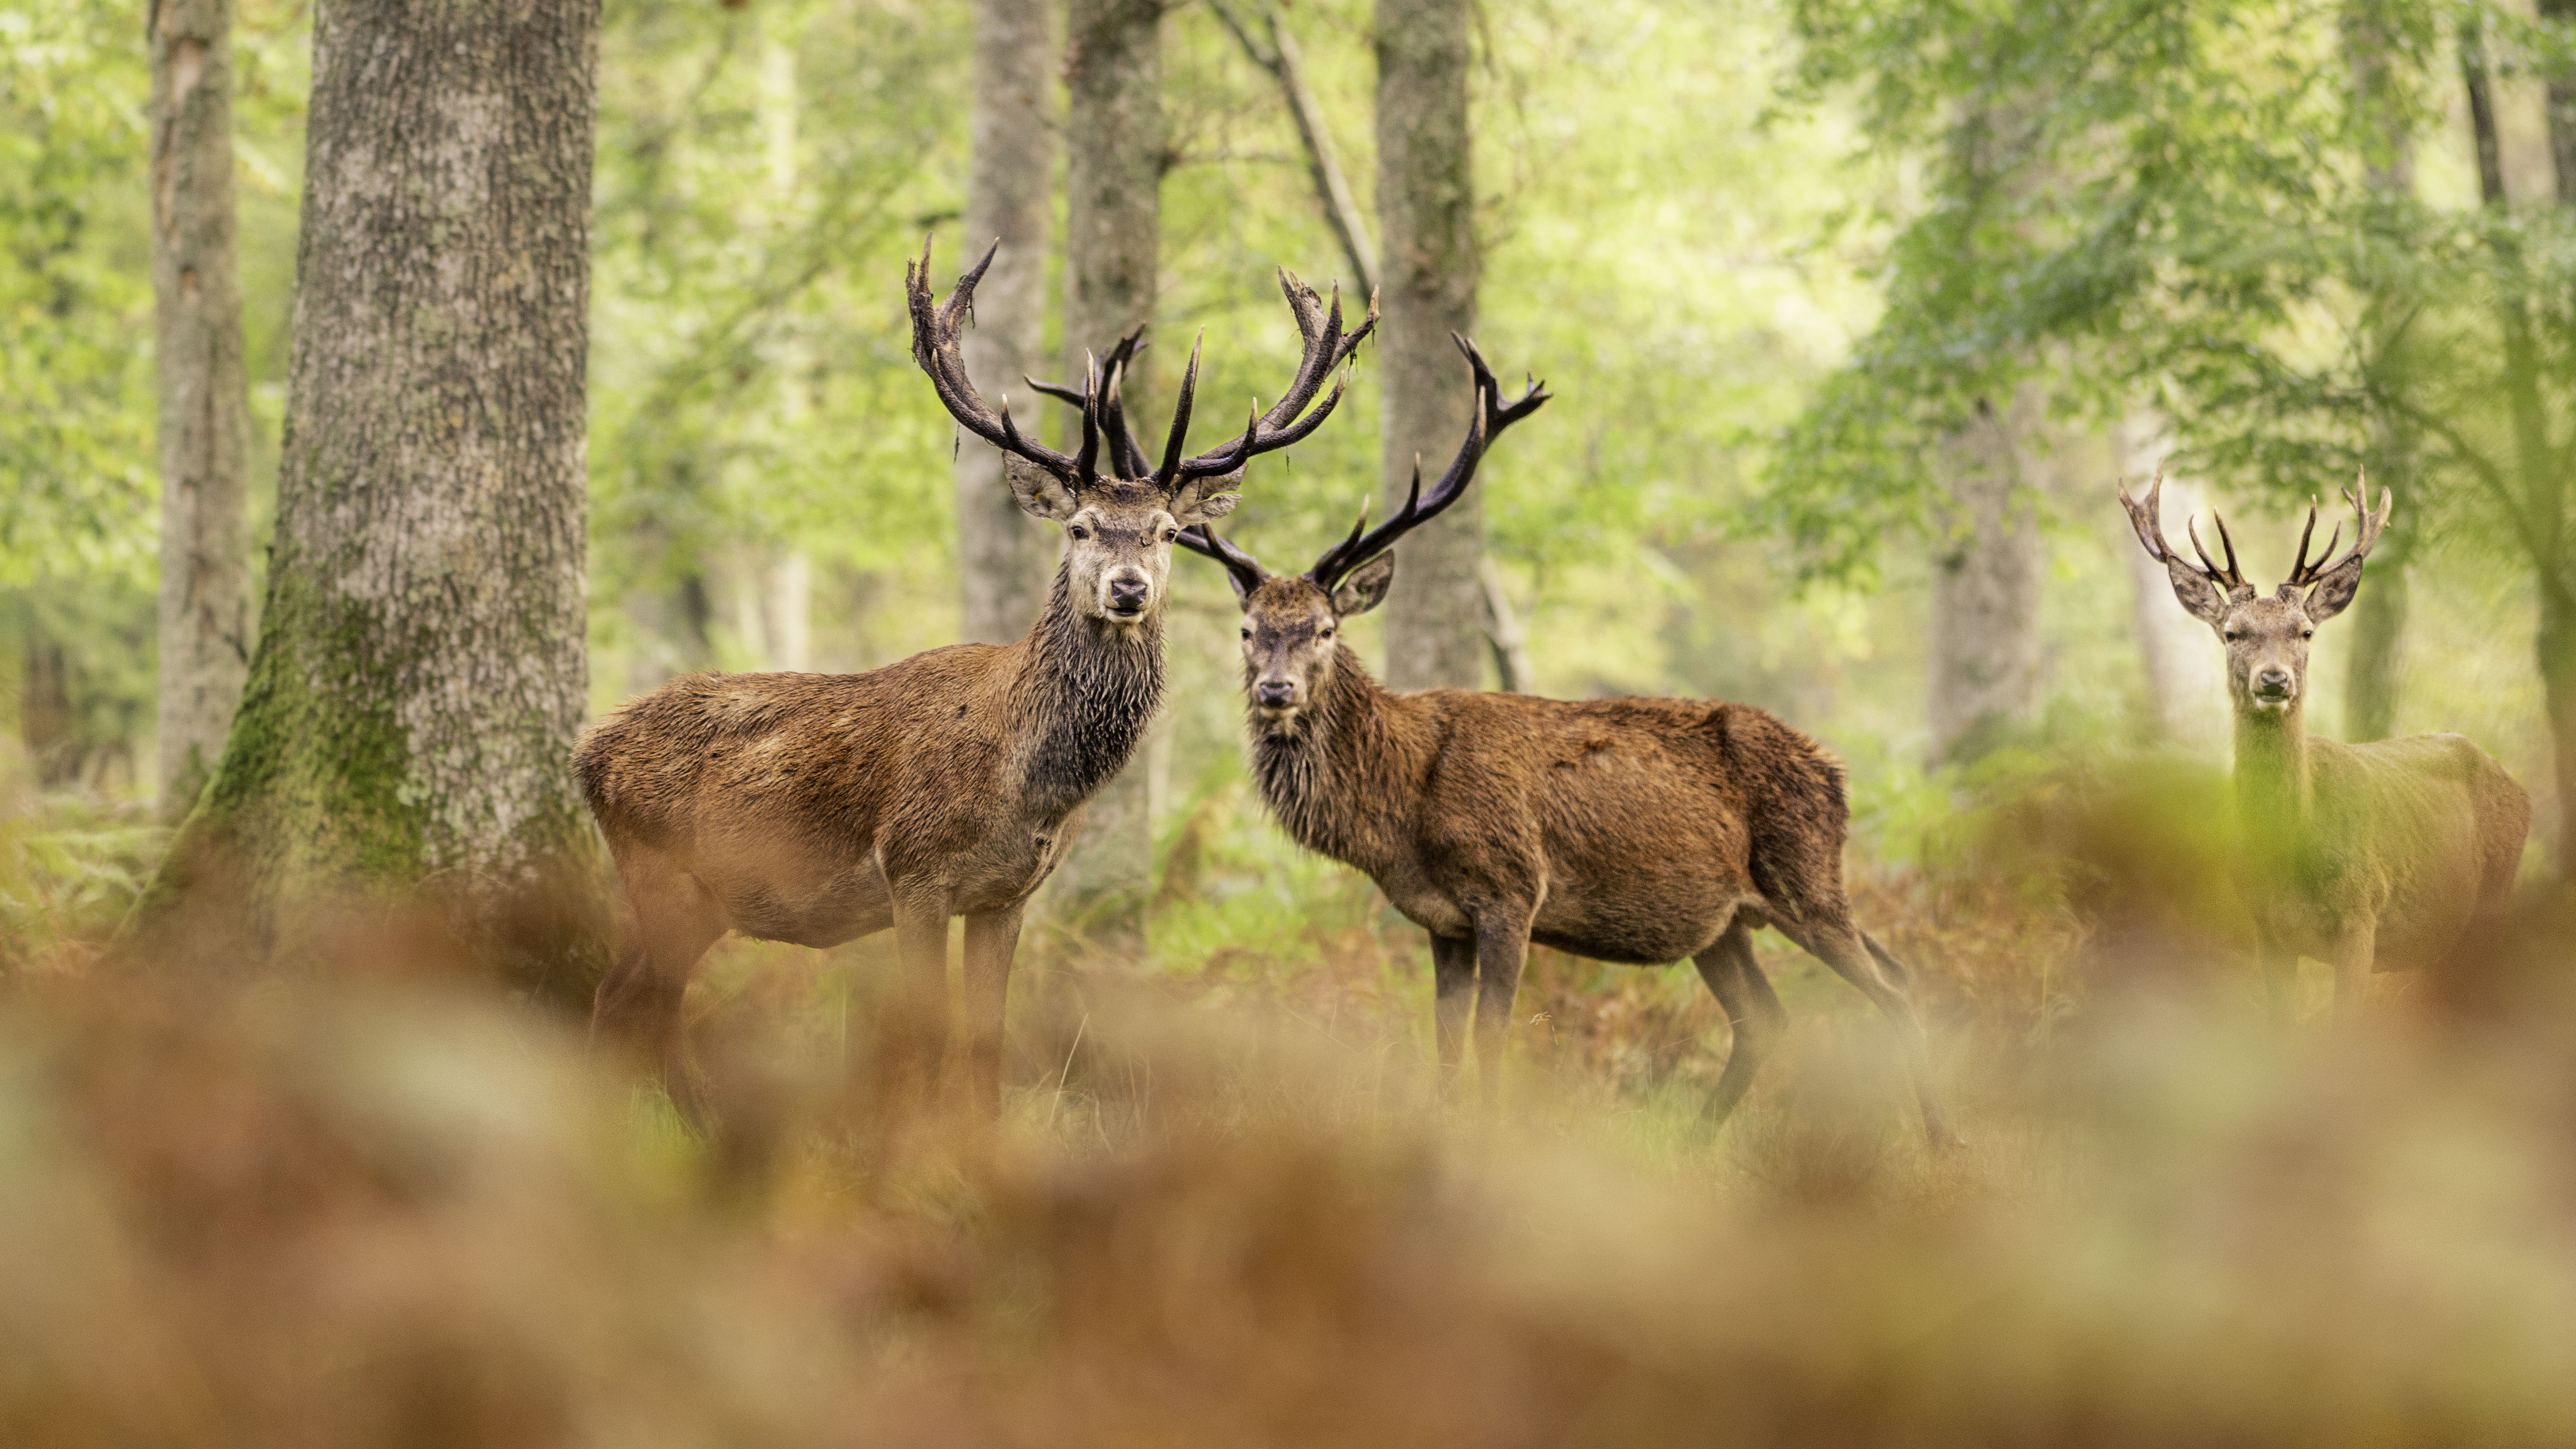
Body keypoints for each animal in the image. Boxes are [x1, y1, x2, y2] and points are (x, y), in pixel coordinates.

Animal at [573, 239, 1375, 1122]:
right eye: (1080, 526)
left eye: (1167, 530)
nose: (1128, 586)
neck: (1028, 784)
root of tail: (587, 751)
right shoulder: (913, 873)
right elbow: (929, 1039)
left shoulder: (1007, 895)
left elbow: (987, 1043)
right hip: (659, 874)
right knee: (632, 1001)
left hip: (700, 898)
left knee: (629, 999)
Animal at [1161, 337, 1957, 1146]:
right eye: (1248, 629)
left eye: (1324, 628)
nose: (1276, 690)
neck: (1401, 813)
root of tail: (1837, 772)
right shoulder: (1441, 920)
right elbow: (1444, 1044)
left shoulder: (1511, 889)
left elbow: (1491, 1038)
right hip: (1726, 922)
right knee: (1769, 1014)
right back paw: (1694, 1144)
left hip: (1806, 874)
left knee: (1892, 984)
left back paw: (1939, 1138)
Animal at [2118, 472, 2529, 1014]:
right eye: (2232, 633)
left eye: (2306, 631)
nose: (2275, 679)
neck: (2293, 852)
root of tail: (2520, 788)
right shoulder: (2266, 929)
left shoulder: (2362, 914)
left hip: (2496, 897)